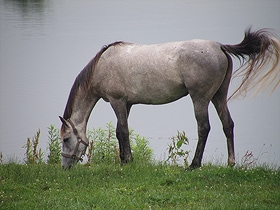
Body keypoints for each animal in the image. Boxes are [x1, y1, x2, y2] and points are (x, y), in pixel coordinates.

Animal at [59, 27, 280, 169]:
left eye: (66, 138)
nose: (65, 166)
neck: (102, 66)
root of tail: (219, 46)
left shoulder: (118, 101)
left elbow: (122, 131)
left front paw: (127, 161)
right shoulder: (126, 104)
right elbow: (119, 131)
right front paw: (124, 159)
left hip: (200, 99)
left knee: (204, 128)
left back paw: (194, 165)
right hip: (219, 96)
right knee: (228, 124)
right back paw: (230, 163)